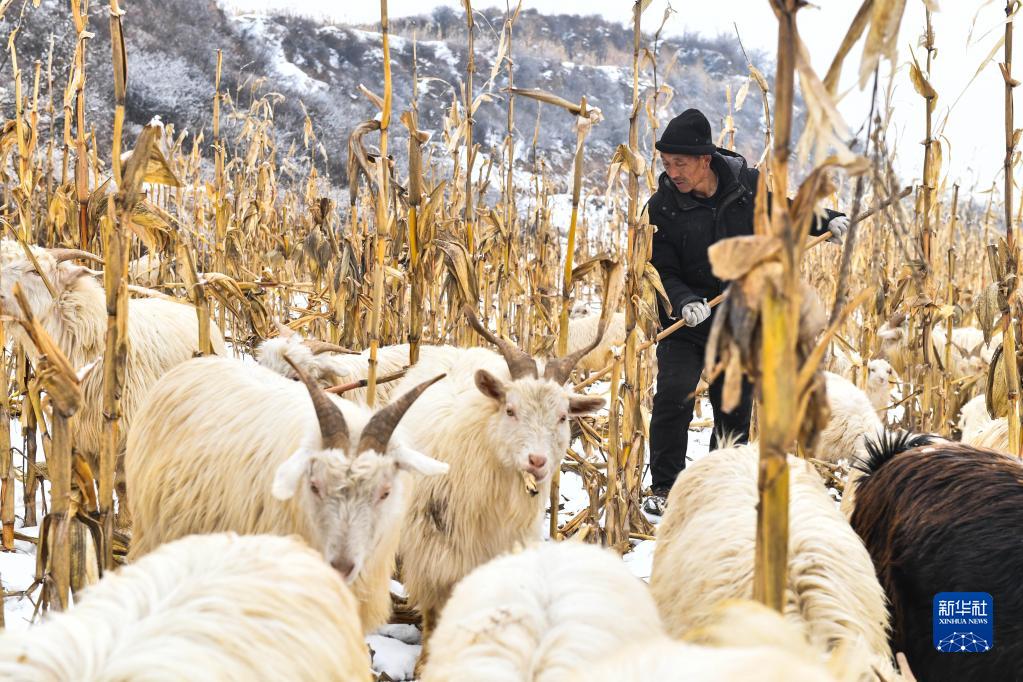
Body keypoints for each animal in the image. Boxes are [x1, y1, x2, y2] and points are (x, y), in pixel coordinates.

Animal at [0, 248, 226, 522]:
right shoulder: (83, 438)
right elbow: (97, 482)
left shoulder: (125, 431)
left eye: (34, 270)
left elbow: (122, 484)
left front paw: (124, 524)